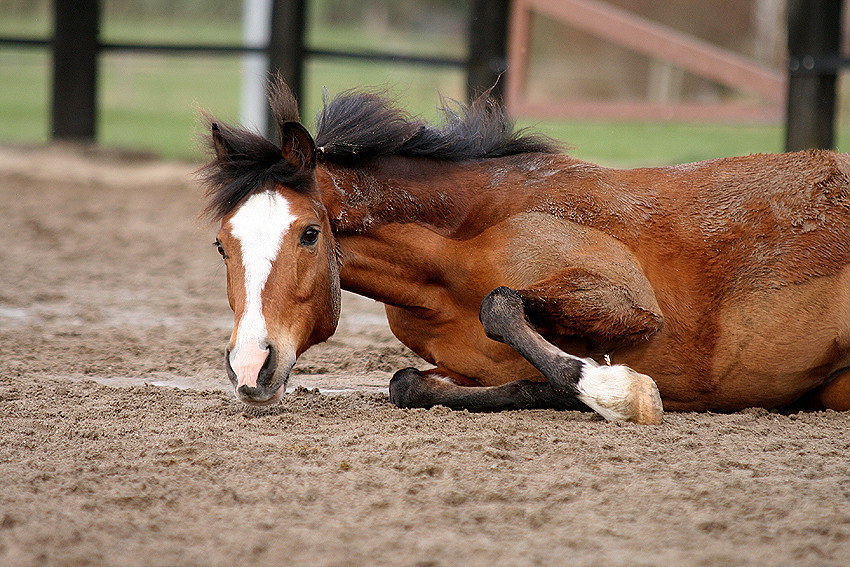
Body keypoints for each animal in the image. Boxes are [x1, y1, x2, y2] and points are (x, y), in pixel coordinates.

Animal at [197, 81, 848, 426]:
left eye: (309, 233)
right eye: (222, 245)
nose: (251, 367)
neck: (451, 258)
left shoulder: (627, 302)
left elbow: (501, 305)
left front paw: (620, 392)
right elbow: (407, 384)